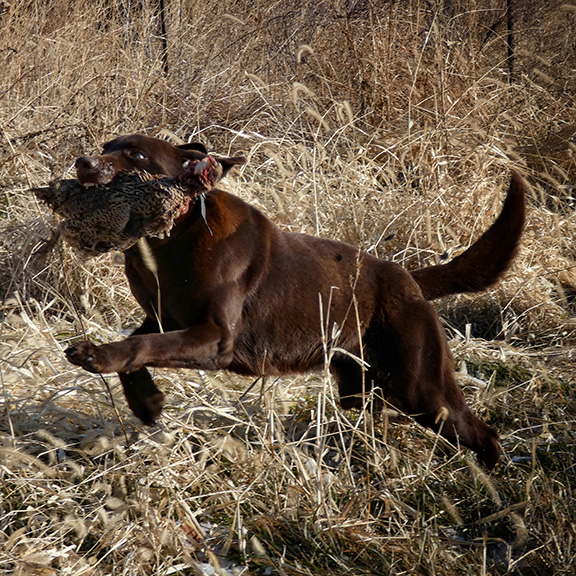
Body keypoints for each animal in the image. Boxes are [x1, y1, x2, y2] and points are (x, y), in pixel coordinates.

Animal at [65, 134, 524, 468]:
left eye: (136, 153)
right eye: (106, 146)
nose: (83, 163)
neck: (172, 240)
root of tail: (407, 278)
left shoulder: (215, 337)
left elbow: (143, 345)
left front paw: (98, 357)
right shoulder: (163, 317)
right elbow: (138, 348)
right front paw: (147, 402)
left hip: (420, 387)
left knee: (480, 432)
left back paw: (492, 482)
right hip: (364, 386)